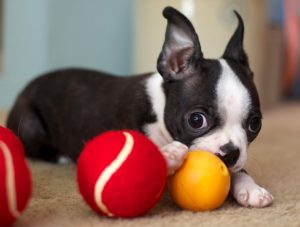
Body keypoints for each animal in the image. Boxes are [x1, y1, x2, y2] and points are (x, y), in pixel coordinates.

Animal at [7, 6, 274, 207]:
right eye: (196, 120)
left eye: (254, 124)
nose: (230, 153)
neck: (159, 110)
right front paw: (168, 155)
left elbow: (240, 170)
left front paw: (250, 187)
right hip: (30, 125)